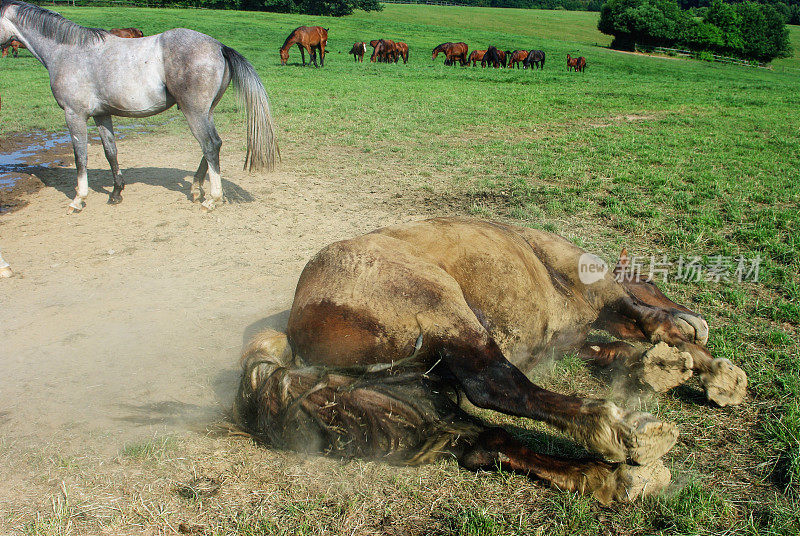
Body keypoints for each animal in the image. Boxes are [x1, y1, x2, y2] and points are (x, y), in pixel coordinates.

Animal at [0, 0, 278, 214]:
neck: (69, 52)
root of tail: (219, 47)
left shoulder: (74, 115)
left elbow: (80, 157)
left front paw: (78, 200)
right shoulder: (102, 115)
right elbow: (110, 152)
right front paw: (116, 193)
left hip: (194, 112)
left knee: (210, 145)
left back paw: (212, 199)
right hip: (205, 112)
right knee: (213, 145)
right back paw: (196, 189)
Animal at [234, 217, 748, 502]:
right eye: (652, 279)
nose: (701, 321)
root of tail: (294, 330)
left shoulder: (575, 342)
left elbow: (623, 350)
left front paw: (668, 367)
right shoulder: (606, 295)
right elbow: (652, 324)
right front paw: (713, 369)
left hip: (410, 394)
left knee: (484, 441)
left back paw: (605, 479)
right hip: (448, 319)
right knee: (497, 388)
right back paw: (620, 432)